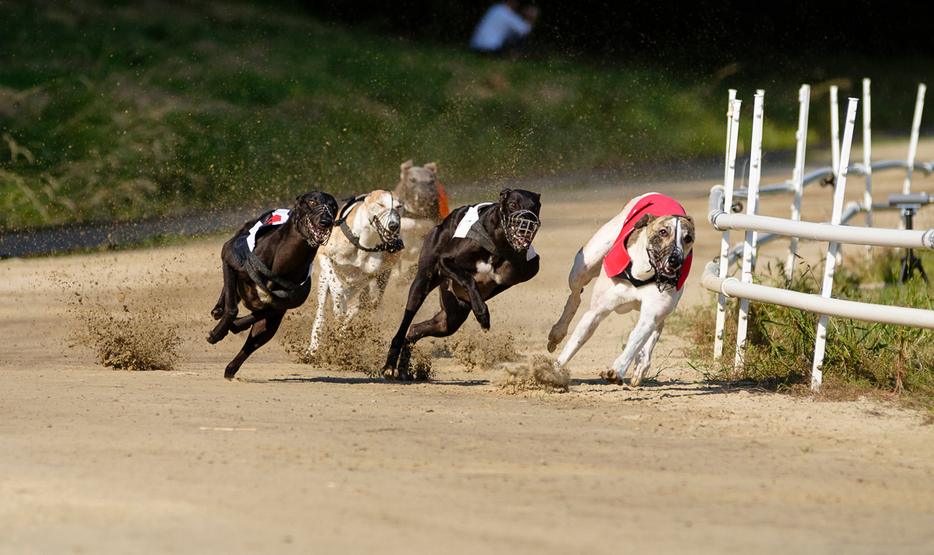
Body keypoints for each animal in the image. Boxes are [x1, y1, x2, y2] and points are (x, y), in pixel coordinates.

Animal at [208, 193, 340, 380]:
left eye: (333, 206)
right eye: (312, 201)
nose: (325, 221)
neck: (282, 262)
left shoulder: (282, 306)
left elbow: (255, 317)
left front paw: (235, 325)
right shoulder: (228, 258)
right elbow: (232, 308)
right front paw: (217, 333)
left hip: (270, 326)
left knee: (253, 341)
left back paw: (231, 369)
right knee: (229, 291)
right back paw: (219, 309)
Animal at [308, 191, 404, 354]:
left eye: (399, 206)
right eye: (380, 204)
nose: (394, 226)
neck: (364, 243)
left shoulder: (369, 275)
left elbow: (353, 305)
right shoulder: (324, 255)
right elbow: (338, 288)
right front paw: (339, 307)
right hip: (322, 281)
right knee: (321, 311)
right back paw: (314, 346)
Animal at [380, 189, 540, 380]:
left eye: (535, 207)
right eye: (513, 204)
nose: (526, 225)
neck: (499, 241)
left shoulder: (526, 268)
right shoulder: (444, 261)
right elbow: (469, 279)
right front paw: (482, 312)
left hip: (450, 319)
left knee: (415, 329)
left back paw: (405, 369)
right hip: (423, 282)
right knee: (406, 322)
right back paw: (390, 366)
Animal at [548, 193, 696, 388]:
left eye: (688, 238)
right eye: (663, 232)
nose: (675, 261)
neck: (642, 273)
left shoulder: (651, 314)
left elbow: (635, 341)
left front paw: (617, 371)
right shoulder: (595, 313)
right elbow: (573, 344)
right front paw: (553, 372)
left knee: (658, 326)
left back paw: (641, 365)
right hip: (583, 266)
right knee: (575, 296)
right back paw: (557, 332)